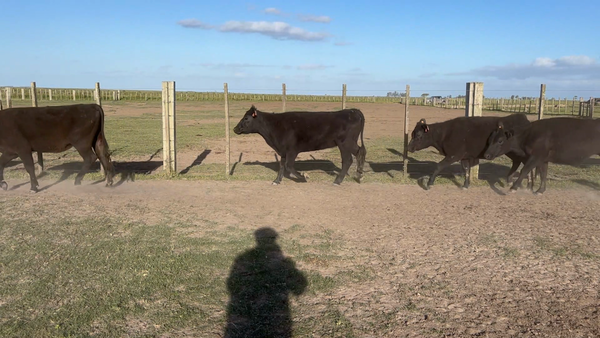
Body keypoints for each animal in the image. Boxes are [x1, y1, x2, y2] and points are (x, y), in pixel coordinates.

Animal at [233, 105, 366, 185]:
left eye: (246, 118)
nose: (235, 129)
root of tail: (353, 111)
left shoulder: (292, 150)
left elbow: (289, 166)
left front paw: (303, 177)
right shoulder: (283, 150)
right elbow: (282, 165)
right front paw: (277, 180)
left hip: (345, 143)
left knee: (348, 159)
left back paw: (338, 181)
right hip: (349, 143)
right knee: (360, 152)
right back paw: (359, 175)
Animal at [408, 113, 536, 190]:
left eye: (418, 135)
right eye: (412, 134)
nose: (409, 147)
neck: (445, 133)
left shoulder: (453, 155)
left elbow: (439, 166)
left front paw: (429, 184)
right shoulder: (464, 157)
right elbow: (466, 170)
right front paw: (465, 185)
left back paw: (528, 185)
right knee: (519, 163)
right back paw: (512, 181)